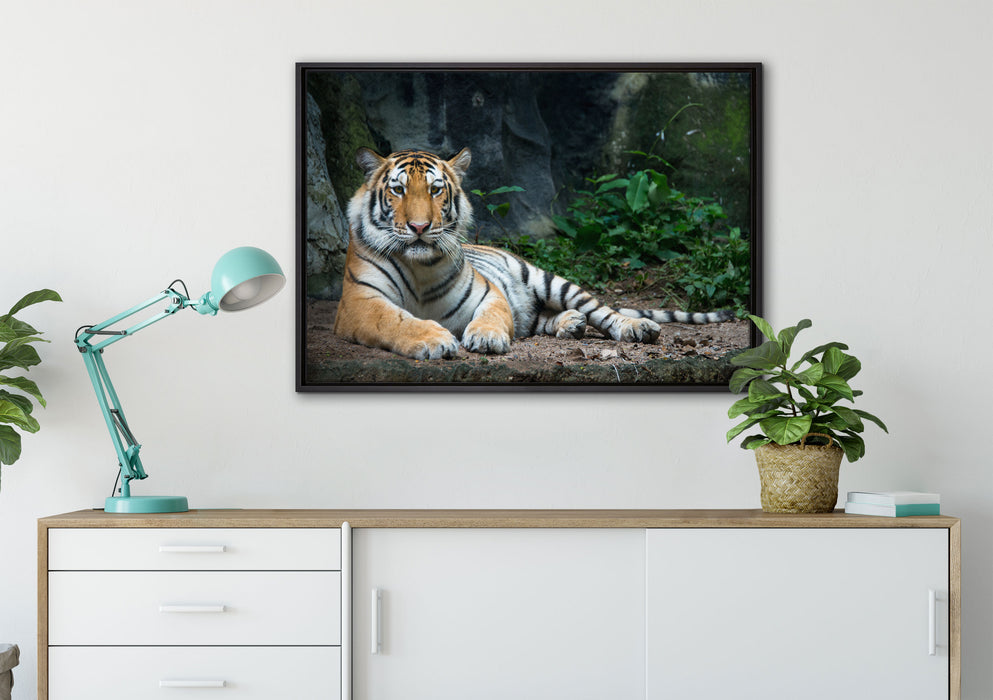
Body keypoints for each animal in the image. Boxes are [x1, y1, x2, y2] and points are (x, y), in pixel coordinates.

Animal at [332, 147, 732, 360]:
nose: (419, 227)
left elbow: (492, 315)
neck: (420, 267)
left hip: (549, 280)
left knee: (604, 312)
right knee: (538, 319)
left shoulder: (488, 292)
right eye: (398, 190)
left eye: (435, 190)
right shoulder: (359, 303)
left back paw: (635, 327)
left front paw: (485, 338)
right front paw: (434, 340)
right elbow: (396, 320)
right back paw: (570, 324)